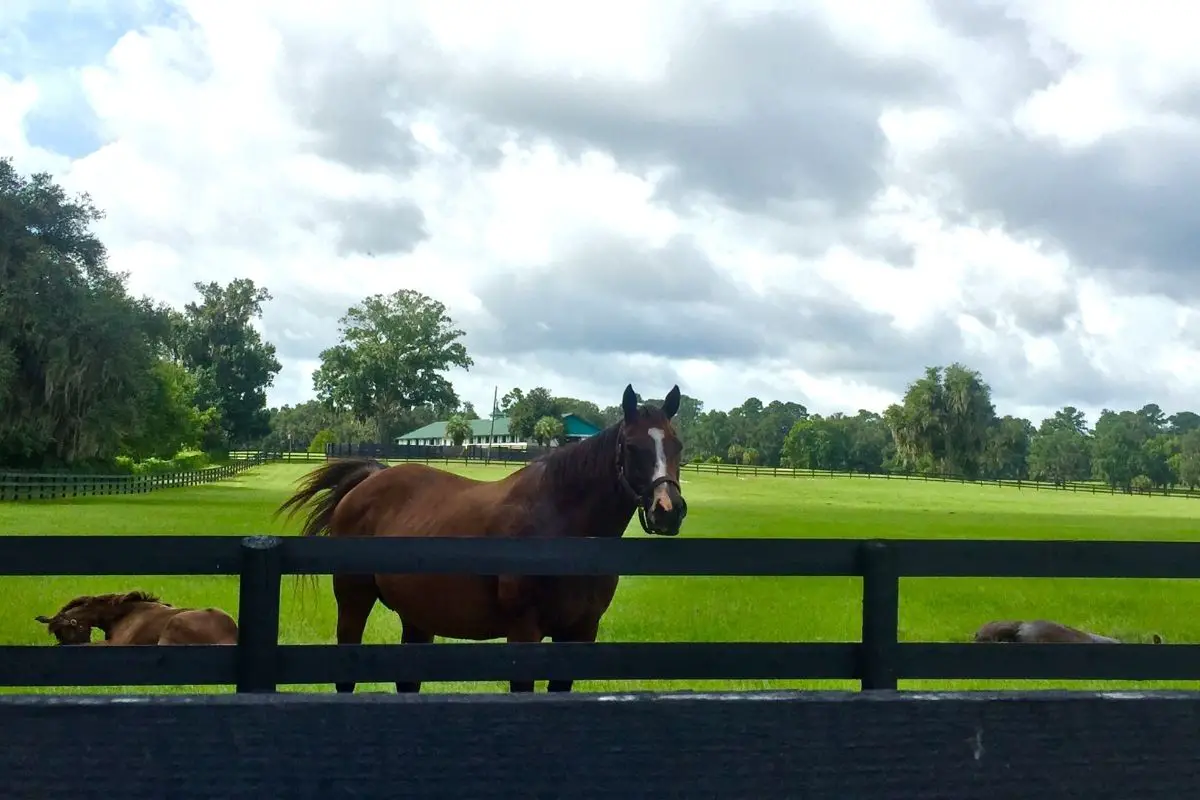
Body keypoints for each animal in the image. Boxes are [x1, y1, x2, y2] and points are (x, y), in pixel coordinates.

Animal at [277, 383, 691, 695]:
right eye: (633, 447)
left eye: (678, 446)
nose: (667, 509)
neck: (560, 526)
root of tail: (372, 477)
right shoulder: (523, 633)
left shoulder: (579, 634)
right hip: (353, 601)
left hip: (417, 617)